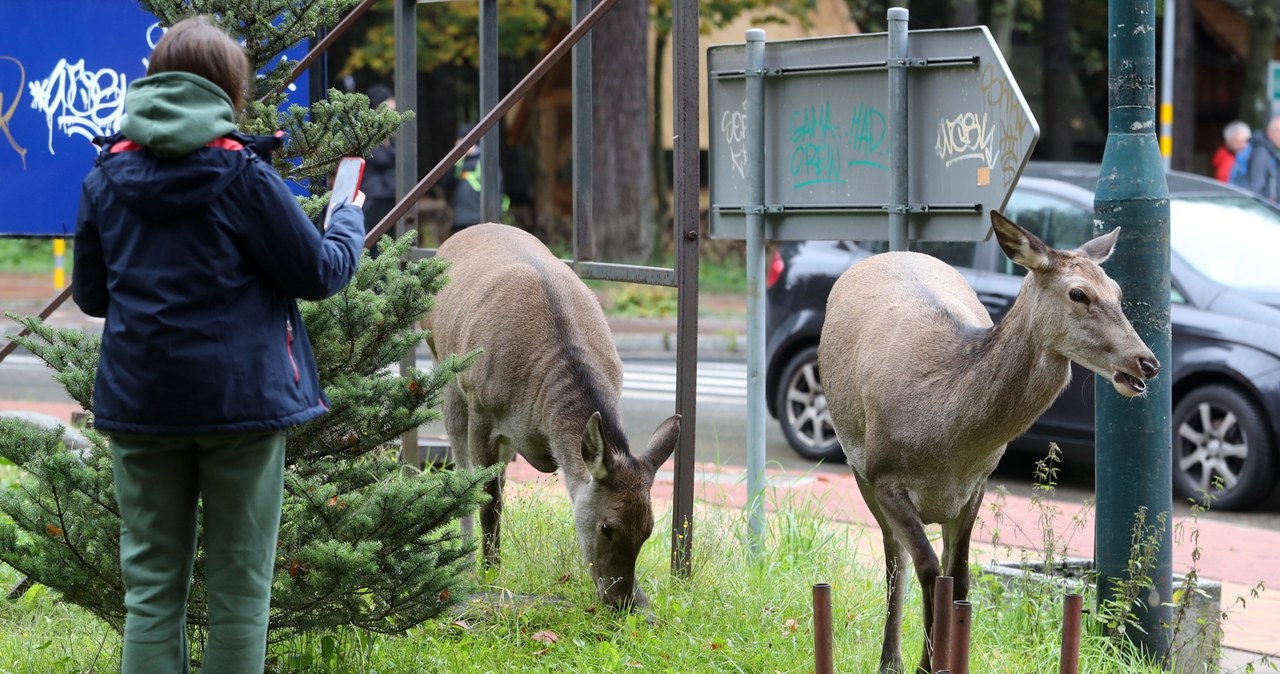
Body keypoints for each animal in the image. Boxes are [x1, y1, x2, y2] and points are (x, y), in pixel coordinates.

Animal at [424, 222, 680, 611]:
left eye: (649, 528)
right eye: (607, 527)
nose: (623, 601)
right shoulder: (482, 408)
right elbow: (488, 501)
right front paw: (489, 573)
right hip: (445, 369)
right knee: (461, 469)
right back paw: (466, 557)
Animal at [819, 212, 1162, 674]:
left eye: (1119, 291)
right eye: (1078, 293)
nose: (1148, 362)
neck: (943, 437)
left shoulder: (976, 485)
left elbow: (960, 575)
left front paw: (946, 660)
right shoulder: (884, 475)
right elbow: (926, 567)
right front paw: (923, 664)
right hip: (857, 463)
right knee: (895, 558)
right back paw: (889, 660)